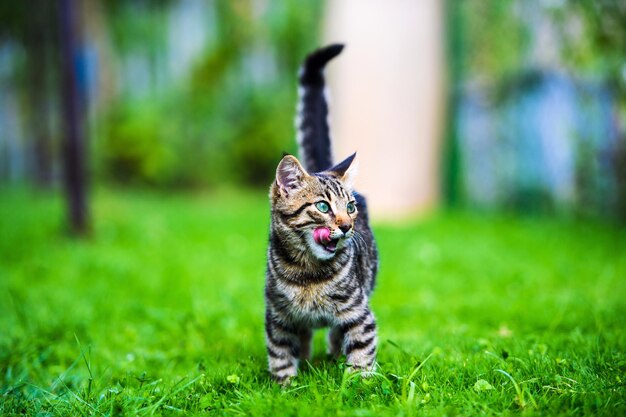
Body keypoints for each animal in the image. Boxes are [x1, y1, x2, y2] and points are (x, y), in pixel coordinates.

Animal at [262, 44, 378, 382]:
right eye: (323, 207)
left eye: (350, 207)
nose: (347, 225)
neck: (308, 275)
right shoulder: (277, 317)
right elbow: (280, 355)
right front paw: (286, 386)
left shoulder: (360, 312)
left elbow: (361, 351)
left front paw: (358, 383)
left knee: (336, 336)